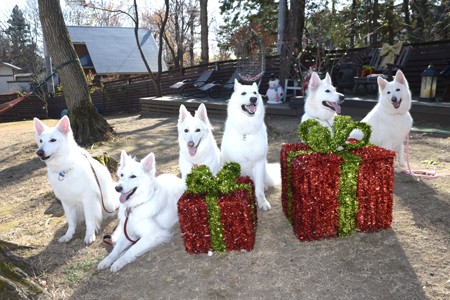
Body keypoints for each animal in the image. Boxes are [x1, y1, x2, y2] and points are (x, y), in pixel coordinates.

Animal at [33, 115, 118, 244]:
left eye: (53, 140)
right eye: (41, 141)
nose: (39, 152)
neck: (64, 169)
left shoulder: (88, 200)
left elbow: (90, 220)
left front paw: (89, 235)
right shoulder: (66, 202)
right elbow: (71, 222)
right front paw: (68, 235)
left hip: (109, 205)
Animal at [220, 79, 280, 211]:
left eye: (255, 93)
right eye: (243, 93)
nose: (253, 99)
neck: (246, 132)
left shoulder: (259, 163)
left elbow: (259, 190)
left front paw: (262, 202)